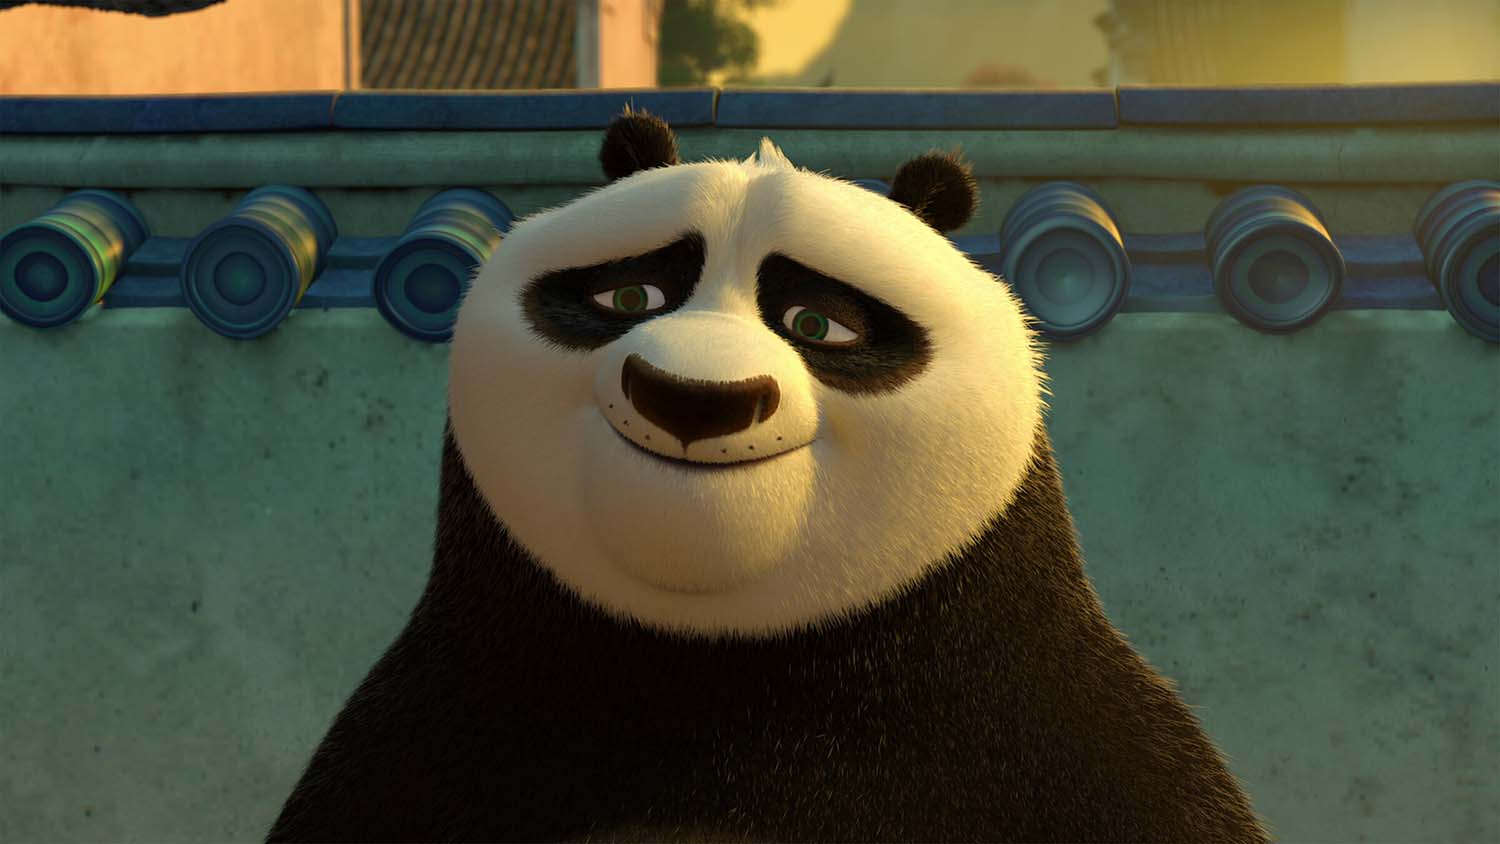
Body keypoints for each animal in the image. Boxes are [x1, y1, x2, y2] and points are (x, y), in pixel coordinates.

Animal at [267, 111, 1270, 843]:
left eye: (818, 324)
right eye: (629, 297)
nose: (693, 399)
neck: (721, 654)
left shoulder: (1053, 733)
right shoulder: (440, 728)